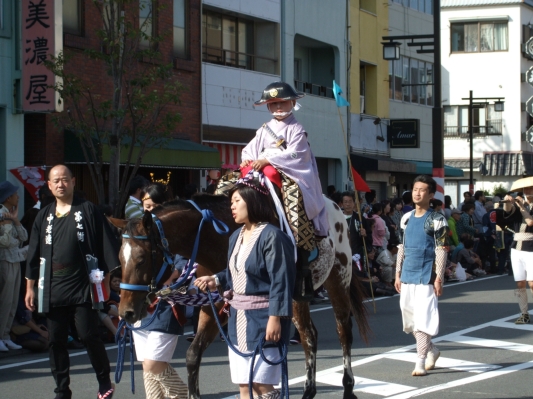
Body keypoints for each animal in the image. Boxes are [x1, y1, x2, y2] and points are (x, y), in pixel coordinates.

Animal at [111, 195, 370, 399]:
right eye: (120, 258)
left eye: (141, 259)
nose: (126, 312)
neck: (215, 239)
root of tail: (335, 206)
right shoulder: (213, 304)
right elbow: (193, 354)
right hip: (299, 297)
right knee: (309, 335)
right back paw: (309, 391)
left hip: (338, 276)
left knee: (341, 331)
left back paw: (347, 387)